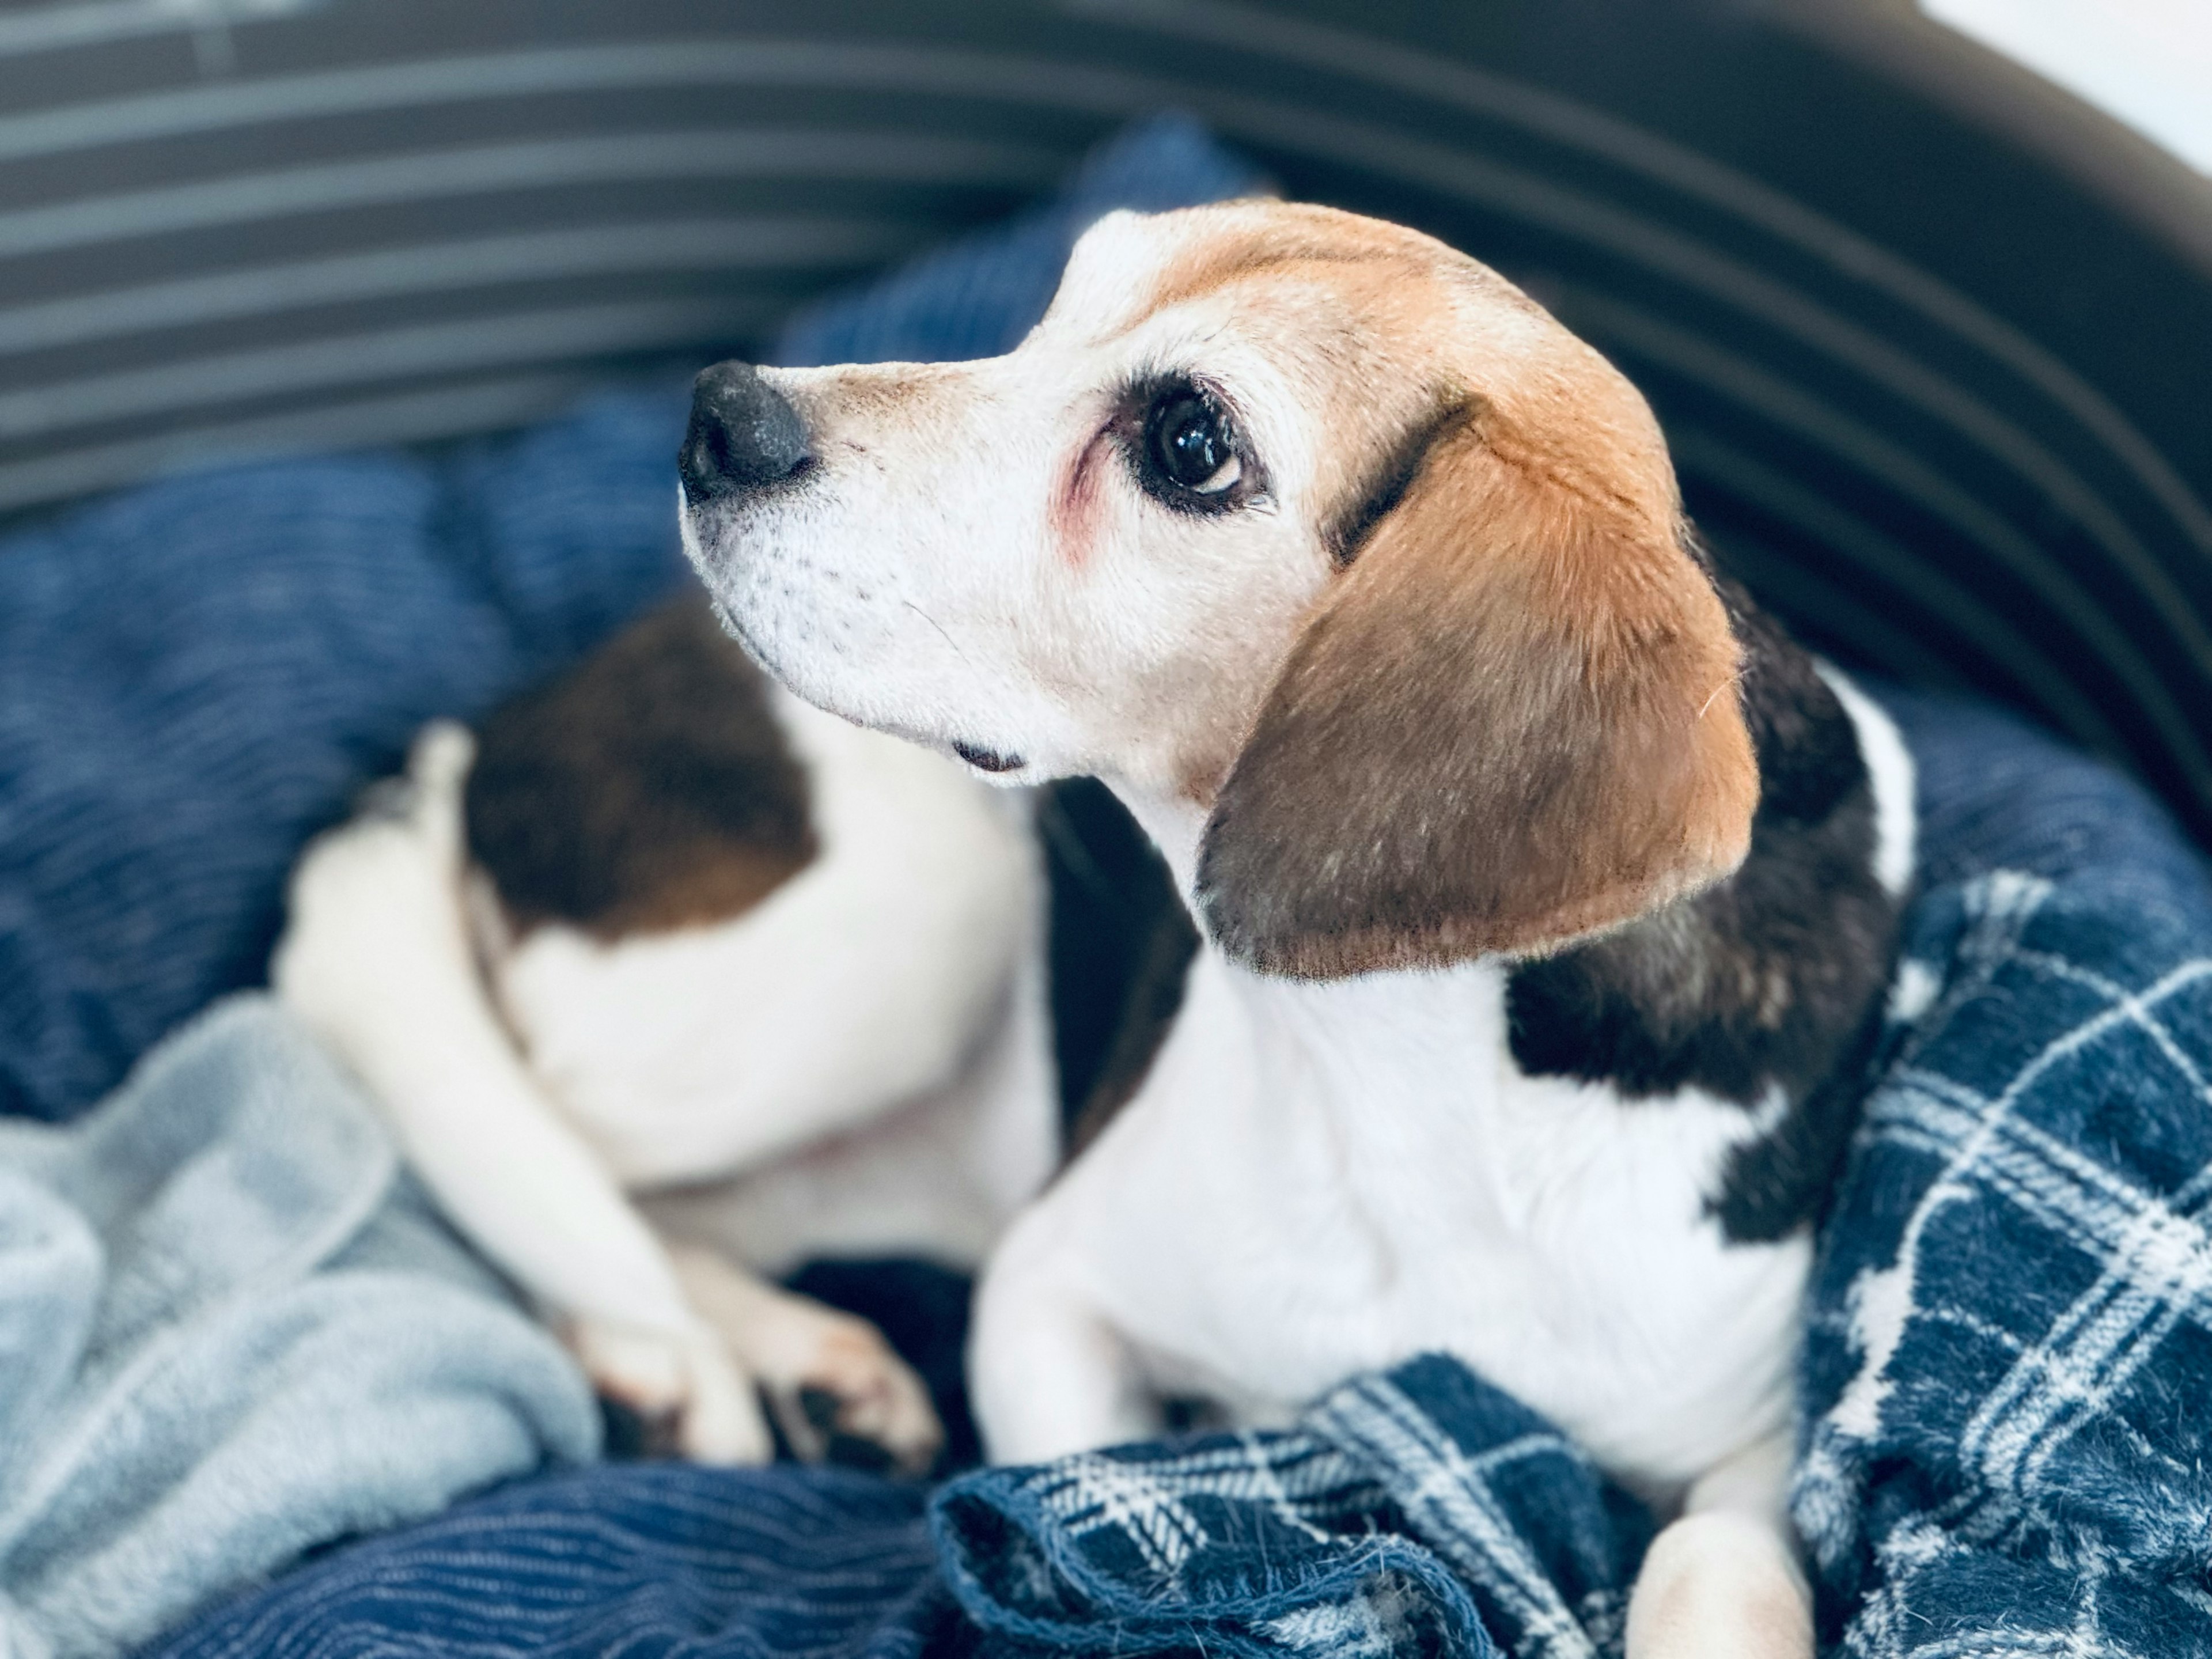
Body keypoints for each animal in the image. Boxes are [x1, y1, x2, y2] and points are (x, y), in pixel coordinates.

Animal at [677, 198, 1920, 1659]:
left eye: (1187, 442)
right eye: (1059, 302)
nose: (720, 416)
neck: (1396, 1075)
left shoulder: (1756, 1444)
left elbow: (1710, 1554)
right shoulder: (1049, 1289)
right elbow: (1073, 1480)